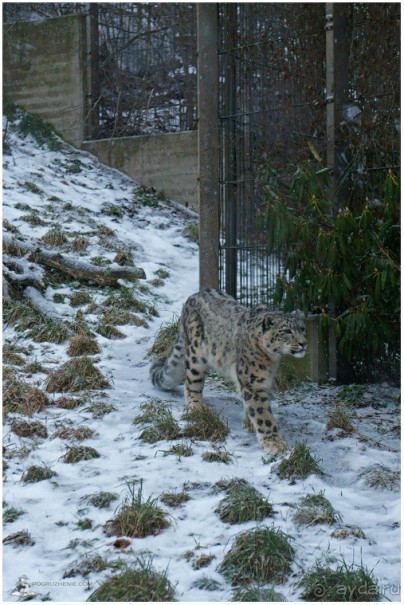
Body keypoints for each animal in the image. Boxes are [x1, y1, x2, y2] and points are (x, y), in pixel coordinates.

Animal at [151, 290, 306, 452]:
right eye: (287, 331)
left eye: (302, 328)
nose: (303, 343)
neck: (272, 360)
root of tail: (192, 297)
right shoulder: (254, 382)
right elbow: (262, 414)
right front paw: (274, 443)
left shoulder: (263, 380)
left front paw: (248, 424)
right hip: (196, 354)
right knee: (191, 383)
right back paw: (197, 406)